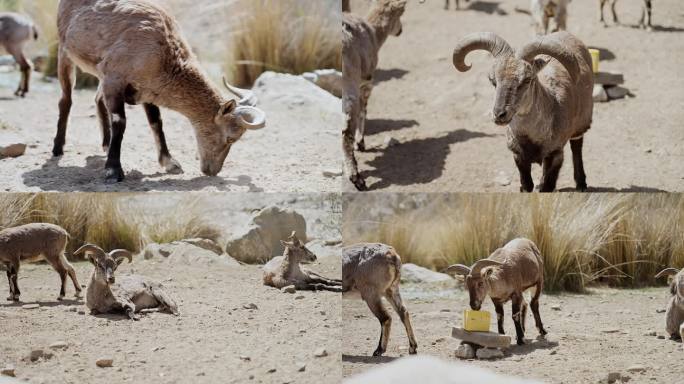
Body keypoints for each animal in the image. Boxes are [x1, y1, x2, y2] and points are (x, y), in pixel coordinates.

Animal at [53, 0, 266, 183]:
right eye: (231, 137)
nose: (212, 170)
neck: (162, 53)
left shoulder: (145, 90)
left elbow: (156, 122)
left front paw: (170, 163)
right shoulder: (115, 80)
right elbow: (120, 122)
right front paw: (113, 171)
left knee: (97, 99)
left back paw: (105, 144)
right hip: (64, 52)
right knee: (66, 100)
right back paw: (57, 148)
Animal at [342, 0, 406, 191]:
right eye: (401, 14)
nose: (400, 30)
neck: (373, 33)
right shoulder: (366, 83)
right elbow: (364, 110)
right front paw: (361, 143)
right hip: (349, 88)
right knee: (346, 132)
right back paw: (357, 179)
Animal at [454, 30, 592, 192]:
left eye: (527, 79)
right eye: (492, 80)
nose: (499, 114)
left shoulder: (555, 154)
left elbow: (547, 187)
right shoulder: (519, 157)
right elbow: (527, 185)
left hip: (581, 123)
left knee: (577, 146)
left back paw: (581, 184)